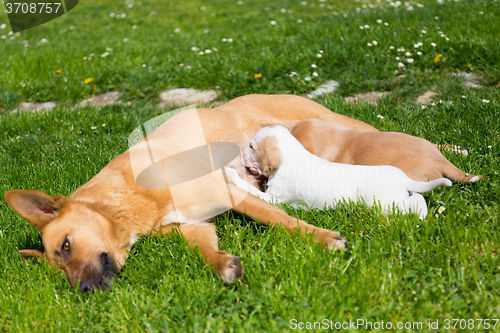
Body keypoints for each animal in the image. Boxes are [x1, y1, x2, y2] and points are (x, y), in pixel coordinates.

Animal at [3, 93, 376, 290]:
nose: (83, 291)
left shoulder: (225, 192)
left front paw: (322, 239)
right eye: (58, 269)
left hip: (336, 123)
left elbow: (278, 219)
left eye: (66, 245)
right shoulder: (193, 225)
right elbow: (204, 250)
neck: (127, 200)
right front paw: (223, 264)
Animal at [227, 124, 454, 218]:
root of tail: (401, 178)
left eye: (251, 147)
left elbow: (248, 188)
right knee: (417, 196)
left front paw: (231, 174)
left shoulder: (273, 199)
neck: (291, 157)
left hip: (386, 205)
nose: (239, 152)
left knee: (415, 202)